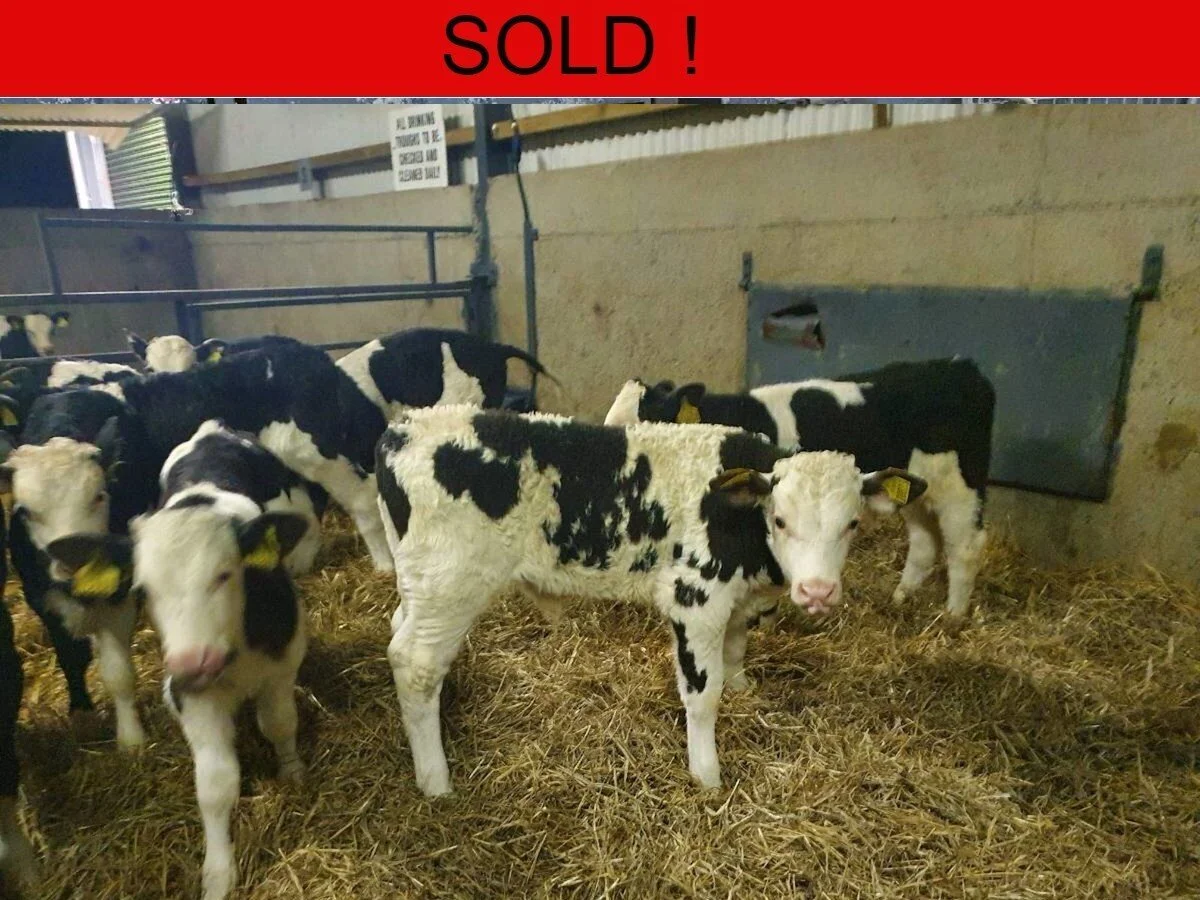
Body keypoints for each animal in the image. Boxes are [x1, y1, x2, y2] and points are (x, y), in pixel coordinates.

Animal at [47, 420, 314, 900]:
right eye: (143, 589)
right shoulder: (194, 696)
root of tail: (214, 429)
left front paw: (292, 772)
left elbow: (280, 723)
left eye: (225, 573)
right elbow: (215, 783)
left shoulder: (284, 660)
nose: (193, 662)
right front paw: (219, 874)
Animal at [374, 405, 926, 796]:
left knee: (401, 633)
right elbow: (703, 694)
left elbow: (735, 653)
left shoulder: (736, 605)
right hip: (450, 585)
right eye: (781, 520)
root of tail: (403, 428)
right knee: (414, 663)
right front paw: (706, 773)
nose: (817, 591)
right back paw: (436, 782)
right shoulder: (697, 599)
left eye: (852, 523)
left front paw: (744, 690)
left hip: (421, 587)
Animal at [604, 358, 995, 620]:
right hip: (916, 488)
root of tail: (961, 367)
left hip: (960, 488)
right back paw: (901, 597)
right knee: (925, 542)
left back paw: (953, 616)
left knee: (965, 547)